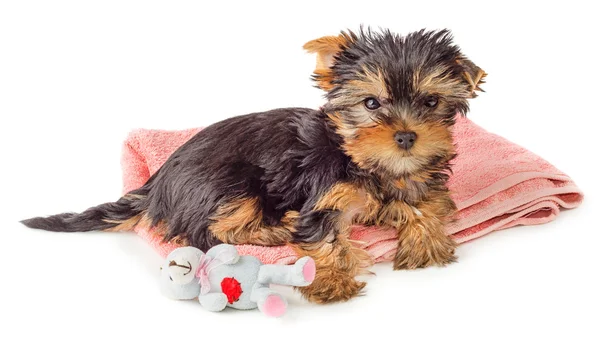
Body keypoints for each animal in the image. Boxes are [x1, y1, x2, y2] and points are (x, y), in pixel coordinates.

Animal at [22, 28, 488, 304]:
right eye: (371, 104)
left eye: (431, 102)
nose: (406, 136)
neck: (364, 159)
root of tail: (157, 183)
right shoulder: (323, 195)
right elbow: (323, 236)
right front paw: (332, 281)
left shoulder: (418, 181)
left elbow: (424, 204)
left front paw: (426, 242)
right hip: (228, 183)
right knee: (213, 230)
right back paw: (275, 229)